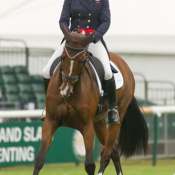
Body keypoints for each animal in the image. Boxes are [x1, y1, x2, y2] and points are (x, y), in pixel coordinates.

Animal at [32, 25, 148, 175]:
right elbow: (40, 159)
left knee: (106, 153)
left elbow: (89, 164)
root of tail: (123, 63)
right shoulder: (50, 121)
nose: (64, 90)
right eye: (62, 58)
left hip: (117, 115)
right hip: (98, 122)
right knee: (114, 151)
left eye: (82, 60)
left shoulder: (86, 125)